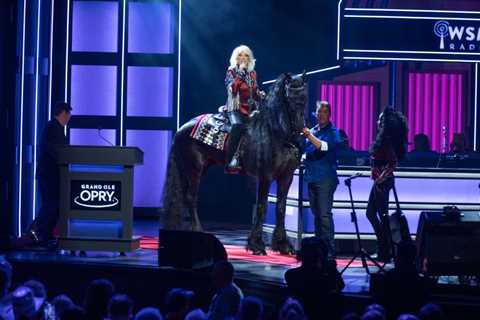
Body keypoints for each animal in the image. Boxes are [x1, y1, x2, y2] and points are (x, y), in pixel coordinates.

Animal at [163, 72, 308, 255]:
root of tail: (182, 128)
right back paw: (198, 231)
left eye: (304, 97)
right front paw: (256, 245)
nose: (300, 127)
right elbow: (261, 207)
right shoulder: (265, 176)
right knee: (191, 198)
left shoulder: (286, 176)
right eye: (289, 98)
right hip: (194, 169)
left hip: (193, 169)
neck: (276, 132)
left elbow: (281, 208)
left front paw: (283, 245)